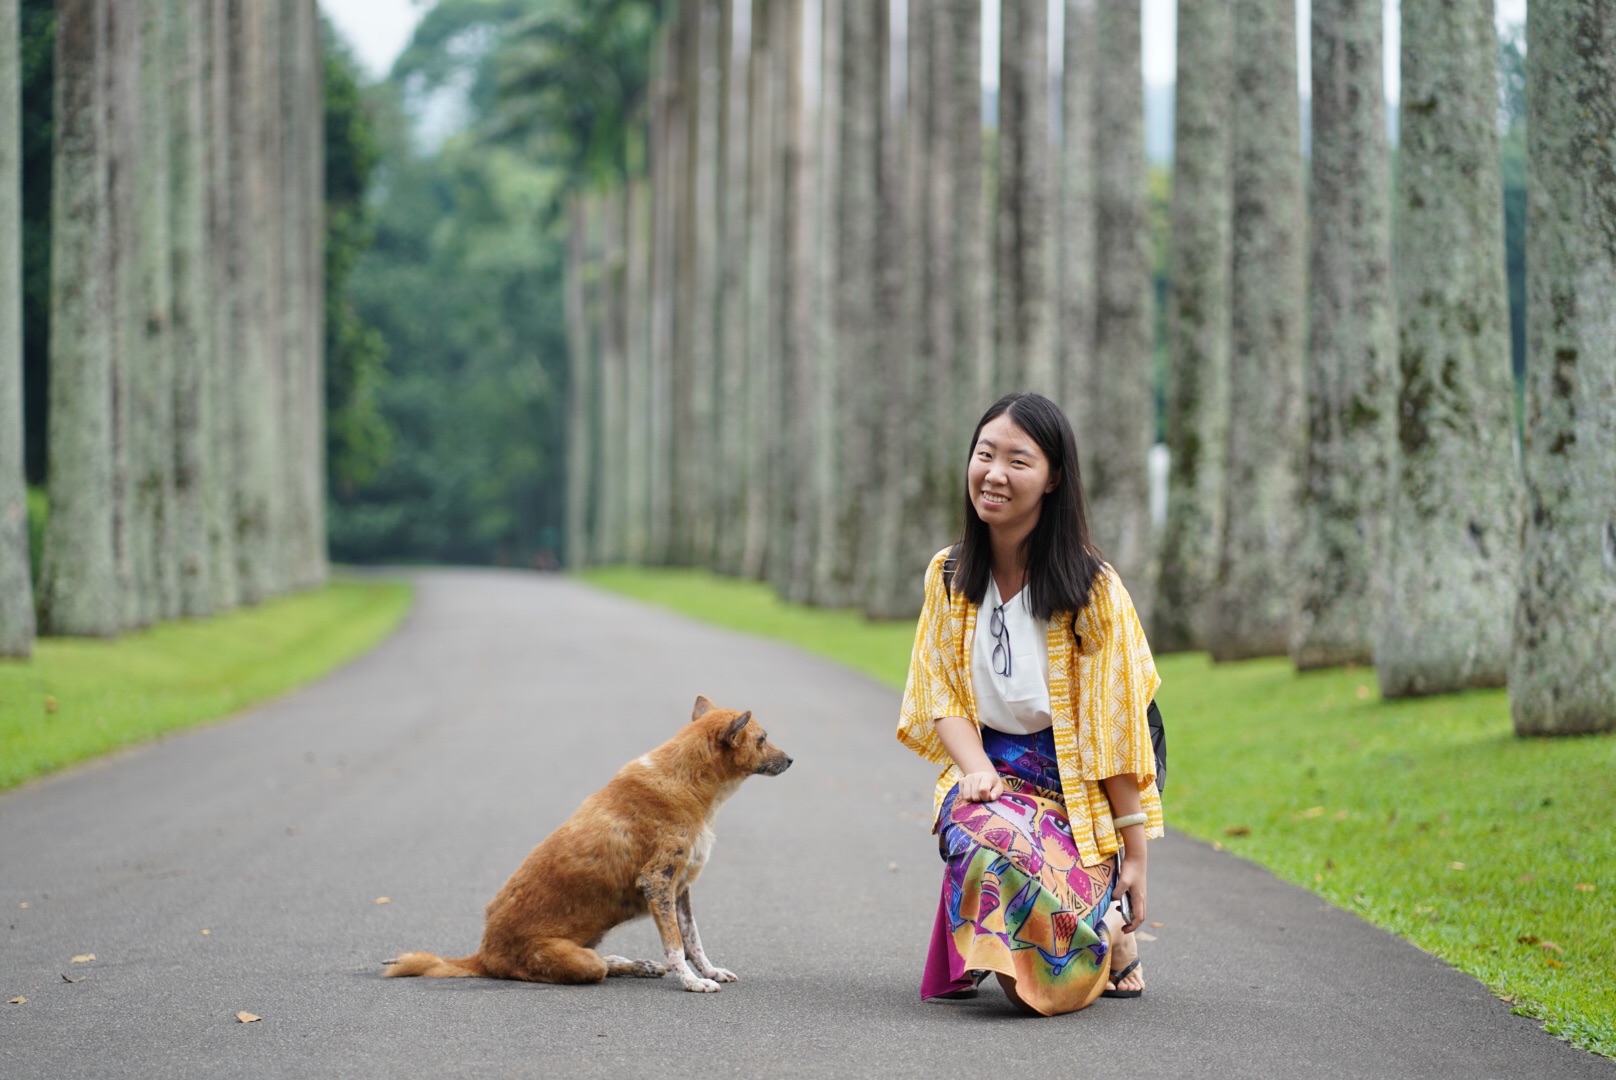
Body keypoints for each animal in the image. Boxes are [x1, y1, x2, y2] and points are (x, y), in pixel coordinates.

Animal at [381, 695, 791, 989]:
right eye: (762, 739)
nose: (790, 760)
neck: (689, 783)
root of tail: (482, 955)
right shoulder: (658, 883)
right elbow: (676, 946)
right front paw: (692, 982)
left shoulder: (680, 889)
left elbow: (694, 942)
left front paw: (710, 971)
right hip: (573, 961)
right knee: (593, 968)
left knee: (609, 962)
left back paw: (636, 964)